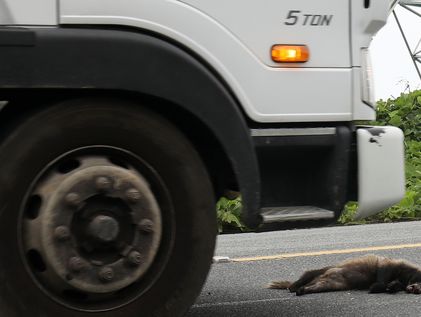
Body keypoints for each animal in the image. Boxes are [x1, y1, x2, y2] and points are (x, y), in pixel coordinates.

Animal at [268, 253, 420, 296]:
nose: (414, 289)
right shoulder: (395, 265)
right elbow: (384, 270)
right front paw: (376, 286)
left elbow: (394, 284)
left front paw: (391, 287)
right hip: (336, 268)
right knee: (312, 272)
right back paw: (295, 285)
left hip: (335, 282)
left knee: (321, 285)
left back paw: (303, 290)